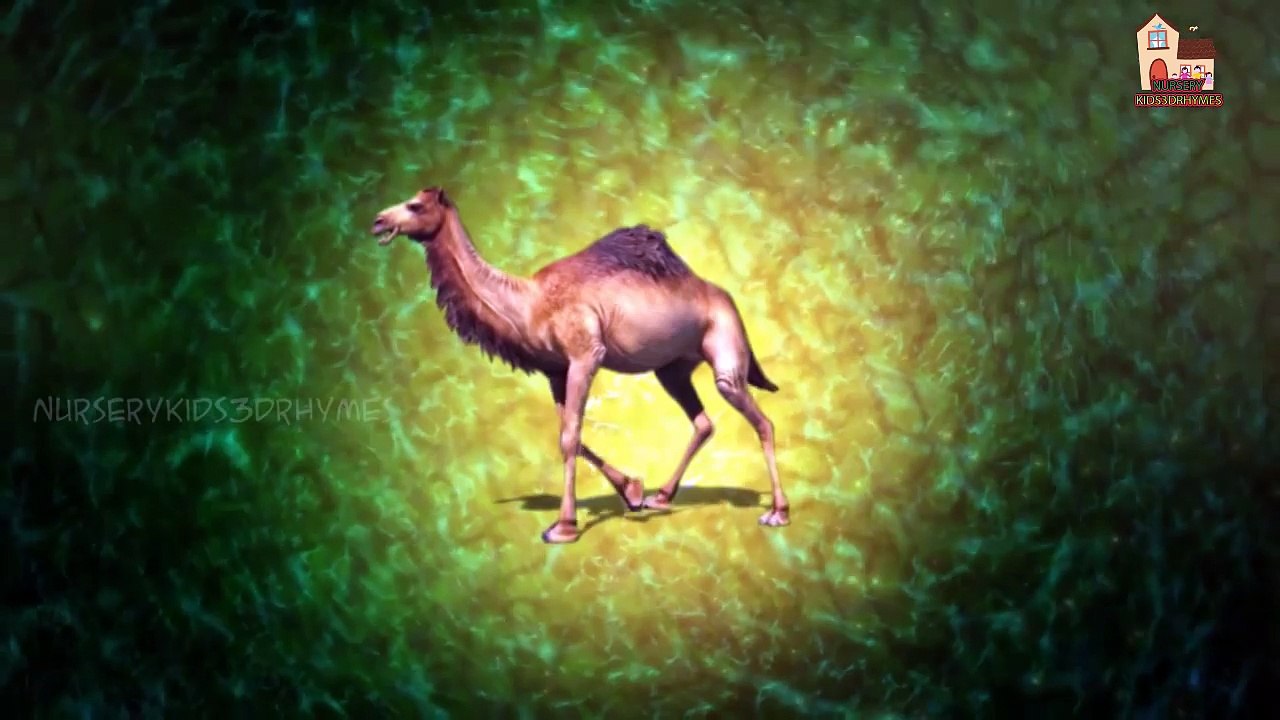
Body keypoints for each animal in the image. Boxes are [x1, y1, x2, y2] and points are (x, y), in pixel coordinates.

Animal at [372, 187, 789, 543]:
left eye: (415, 206)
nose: (377, 221)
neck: (530, 304)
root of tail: (727, 299)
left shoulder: (586, 354)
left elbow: (569, 438)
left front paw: (563, 526)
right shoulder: (556, 371)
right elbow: (568, 434)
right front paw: (632, 491)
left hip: (725, 348)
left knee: (761, 419)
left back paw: (777, 512)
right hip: (671, 369)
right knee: (703, 422)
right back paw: (662, 496)